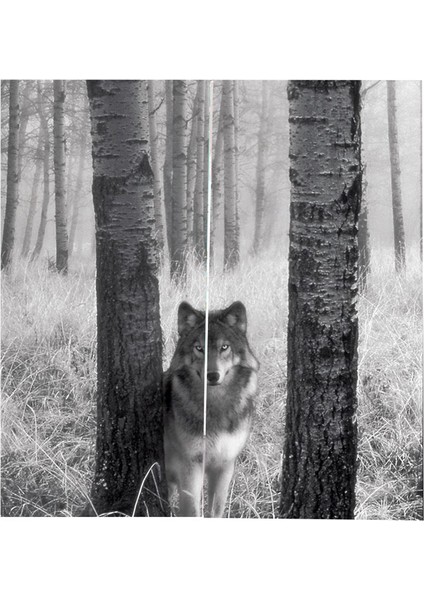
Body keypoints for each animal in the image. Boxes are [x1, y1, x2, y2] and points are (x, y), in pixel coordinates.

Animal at [164, 302, 260, 516]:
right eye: (199, 348)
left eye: (224, 347)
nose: (213, 375)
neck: (215, 406)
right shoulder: (191, 466)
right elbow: (192, 512)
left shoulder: (225, 465)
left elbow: (216, 510)